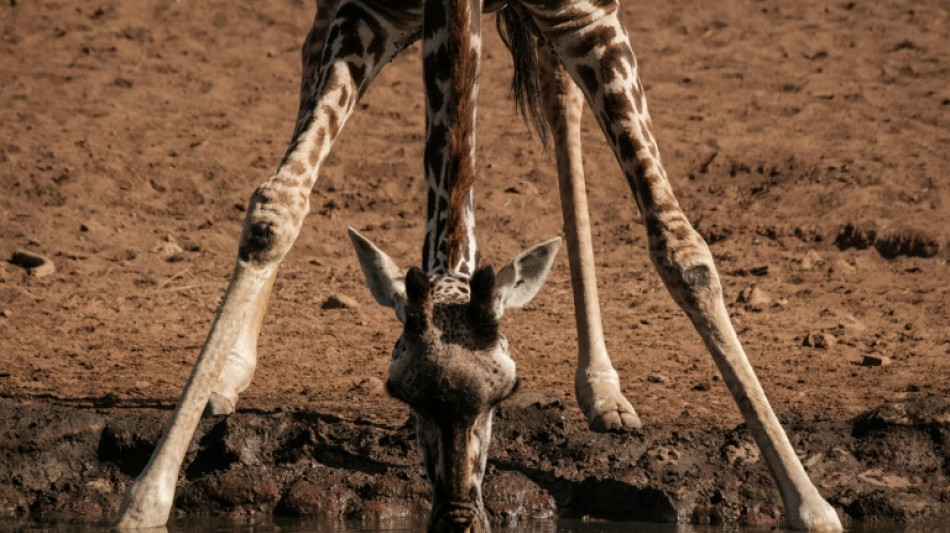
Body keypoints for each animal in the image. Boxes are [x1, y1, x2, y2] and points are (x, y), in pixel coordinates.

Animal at [113, 0, 848, 528]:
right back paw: (229, 374)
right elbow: (276, 211)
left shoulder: (588, 16)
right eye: (398, 393)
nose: (457, 518)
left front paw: (812, 506)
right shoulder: (362, 10)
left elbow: (683, 250)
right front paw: (144, 502)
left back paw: (603, 389)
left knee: (559, 99)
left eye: (508, 393)